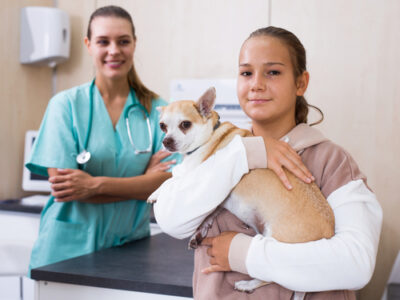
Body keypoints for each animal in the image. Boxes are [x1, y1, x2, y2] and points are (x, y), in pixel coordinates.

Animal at [148, 86, 334, 292]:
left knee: (271, 276)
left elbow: (171, 180)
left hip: (276, 246)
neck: (211, 134)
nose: (166, 141)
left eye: (185, 124)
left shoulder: (194, 171)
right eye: (162, 126)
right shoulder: (220, 199)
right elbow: (210, 212)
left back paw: (248, 284)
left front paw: (155, 193)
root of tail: (329, 232)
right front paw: (200, 230)